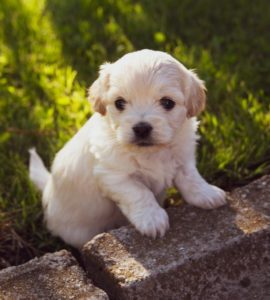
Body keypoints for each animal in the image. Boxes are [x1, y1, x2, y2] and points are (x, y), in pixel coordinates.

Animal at [29, 49, 226, 248]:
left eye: (167, 102)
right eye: (119, 103)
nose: (141, 128)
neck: (151, 153)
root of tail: (48, 188)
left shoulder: (183, 158)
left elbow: (191, 178)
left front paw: (207, 194)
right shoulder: (114, 176)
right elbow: (139, 192)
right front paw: (152, 219)